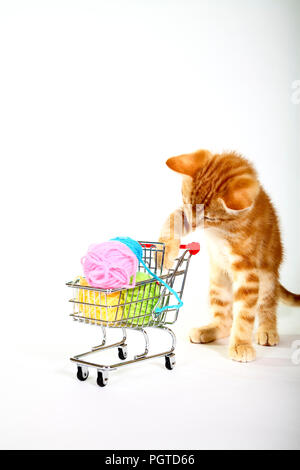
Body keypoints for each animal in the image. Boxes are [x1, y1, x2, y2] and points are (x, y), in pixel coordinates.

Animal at [158, 149, 298, 362]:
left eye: (209, 217)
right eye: (186, 202)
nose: (195, 224)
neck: (223, 228)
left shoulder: (247, 270)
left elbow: (245, 313)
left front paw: (241, 344)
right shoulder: (185, 215)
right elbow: (173, 219)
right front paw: (164, 253)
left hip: (267, 276)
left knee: (266, 303)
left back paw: (268, 330)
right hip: (218, 281)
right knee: (224, 321)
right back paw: (208, 330)